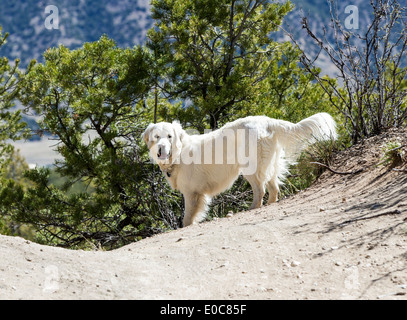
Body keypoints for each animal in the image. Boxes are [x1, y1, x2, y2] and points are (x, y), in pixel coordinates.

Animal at [144, 114, 338, 226]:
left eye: (169, 136)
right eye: (157, 137)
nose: (161, 148)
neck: (178, 153)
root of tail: (267, 120)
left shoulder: (192, 192)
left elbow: (188, 216)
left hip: (250, 167)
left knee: (260, 190)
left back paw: (252, 208)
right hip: (270, 164)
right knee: (273, 188)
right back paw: (270, 204)